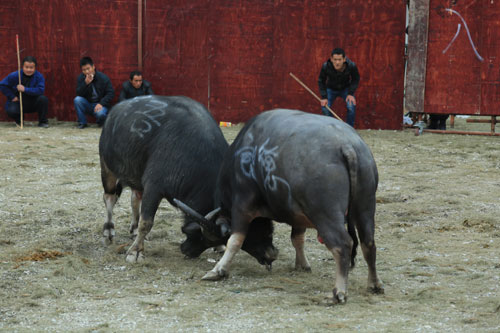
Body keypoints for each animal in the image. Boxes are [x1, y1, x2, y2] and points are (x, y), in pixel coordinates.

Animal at [97, 95, 278, 262]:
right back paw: (108, 230)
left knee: (135, 197)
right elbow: (146, 222)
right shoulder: (154, 187)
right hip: (107, 167)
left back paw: (133, 229)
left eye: (267, 229)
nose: (270, 254)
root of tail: (115, 111)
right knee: (110, 197)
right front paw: (135, 251)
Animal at [182, 109, 384, 304]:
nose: (184, 248)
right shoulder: (298, 214)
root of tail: (348, 146)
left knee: (342, 244)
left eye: (209, 238)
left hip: (325, 214)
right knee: (368, 243)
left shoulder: (241, 205)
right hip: (365, 207)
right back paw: (374, 284)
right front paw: (302, 265)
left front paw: (218, 270)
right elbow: (297, 238)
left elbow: (235, 240)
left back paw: (338, 293)